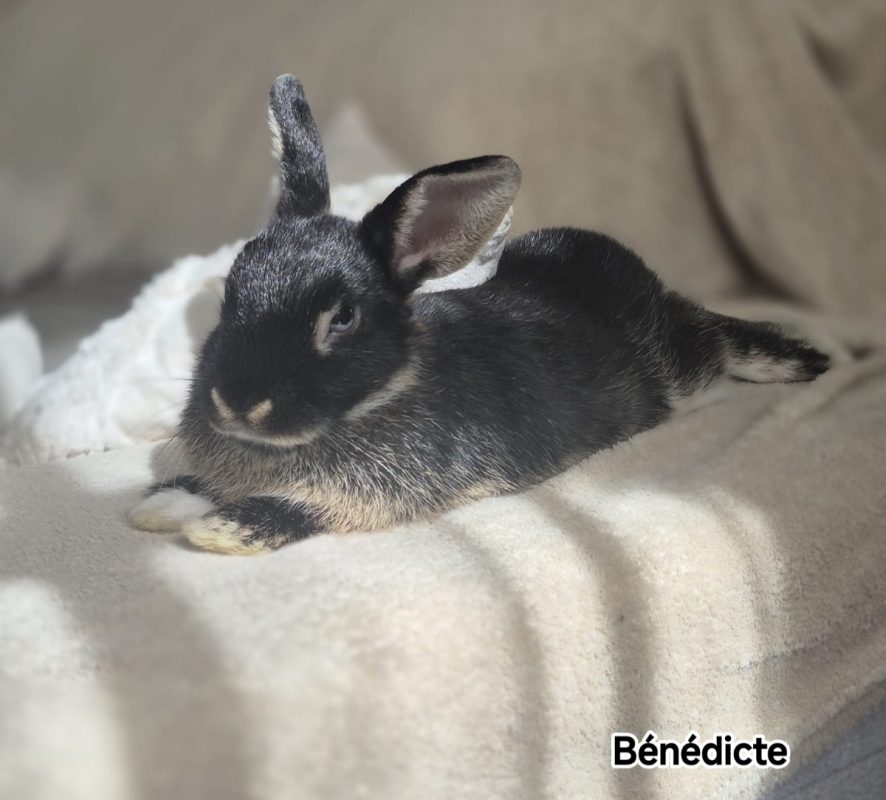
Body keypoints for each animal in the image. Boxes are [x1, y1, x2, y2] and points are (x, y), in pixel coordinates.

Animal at [129, 75, 829, 555]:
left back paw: (798, 362)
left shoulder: (388, 493)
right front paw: (163, 504)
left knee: (713, 344)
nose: (237, 403)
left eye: (343, 319)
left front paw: (220, 529)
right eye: (231, 290)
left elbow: (306, 509)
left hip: (678, 360)